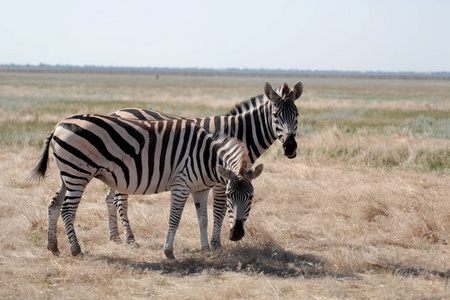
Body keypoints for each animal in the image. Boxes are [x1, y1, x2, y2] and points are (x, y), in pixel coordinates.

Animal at [30, 115, 264, 260]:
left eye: (251, 197)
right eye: (229, 196)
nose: (237, 234)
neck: (206, 156)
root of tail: (59, 124)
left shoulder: (200, 189)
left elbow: (203, 219)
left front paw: (205, 248)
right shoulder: (181, 184)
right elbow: (175, 219)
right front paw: (168, 252)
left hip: (67, 175)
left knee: (53, 205)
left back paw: (53, 247)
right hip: (78, 174)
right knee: (67, 210)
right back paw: (76, 249)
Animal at [105, 81, 302, 250]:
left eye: (297, 115)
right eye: (275, 115)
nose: (290, 147)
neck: (240, 133)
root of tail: (115, 112)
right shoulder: (222, 179)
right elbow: (219, 211)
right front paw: (216, 244)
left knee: (109, 198)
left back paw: (115, 237)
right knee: (120, 201)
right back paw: (130, 240)